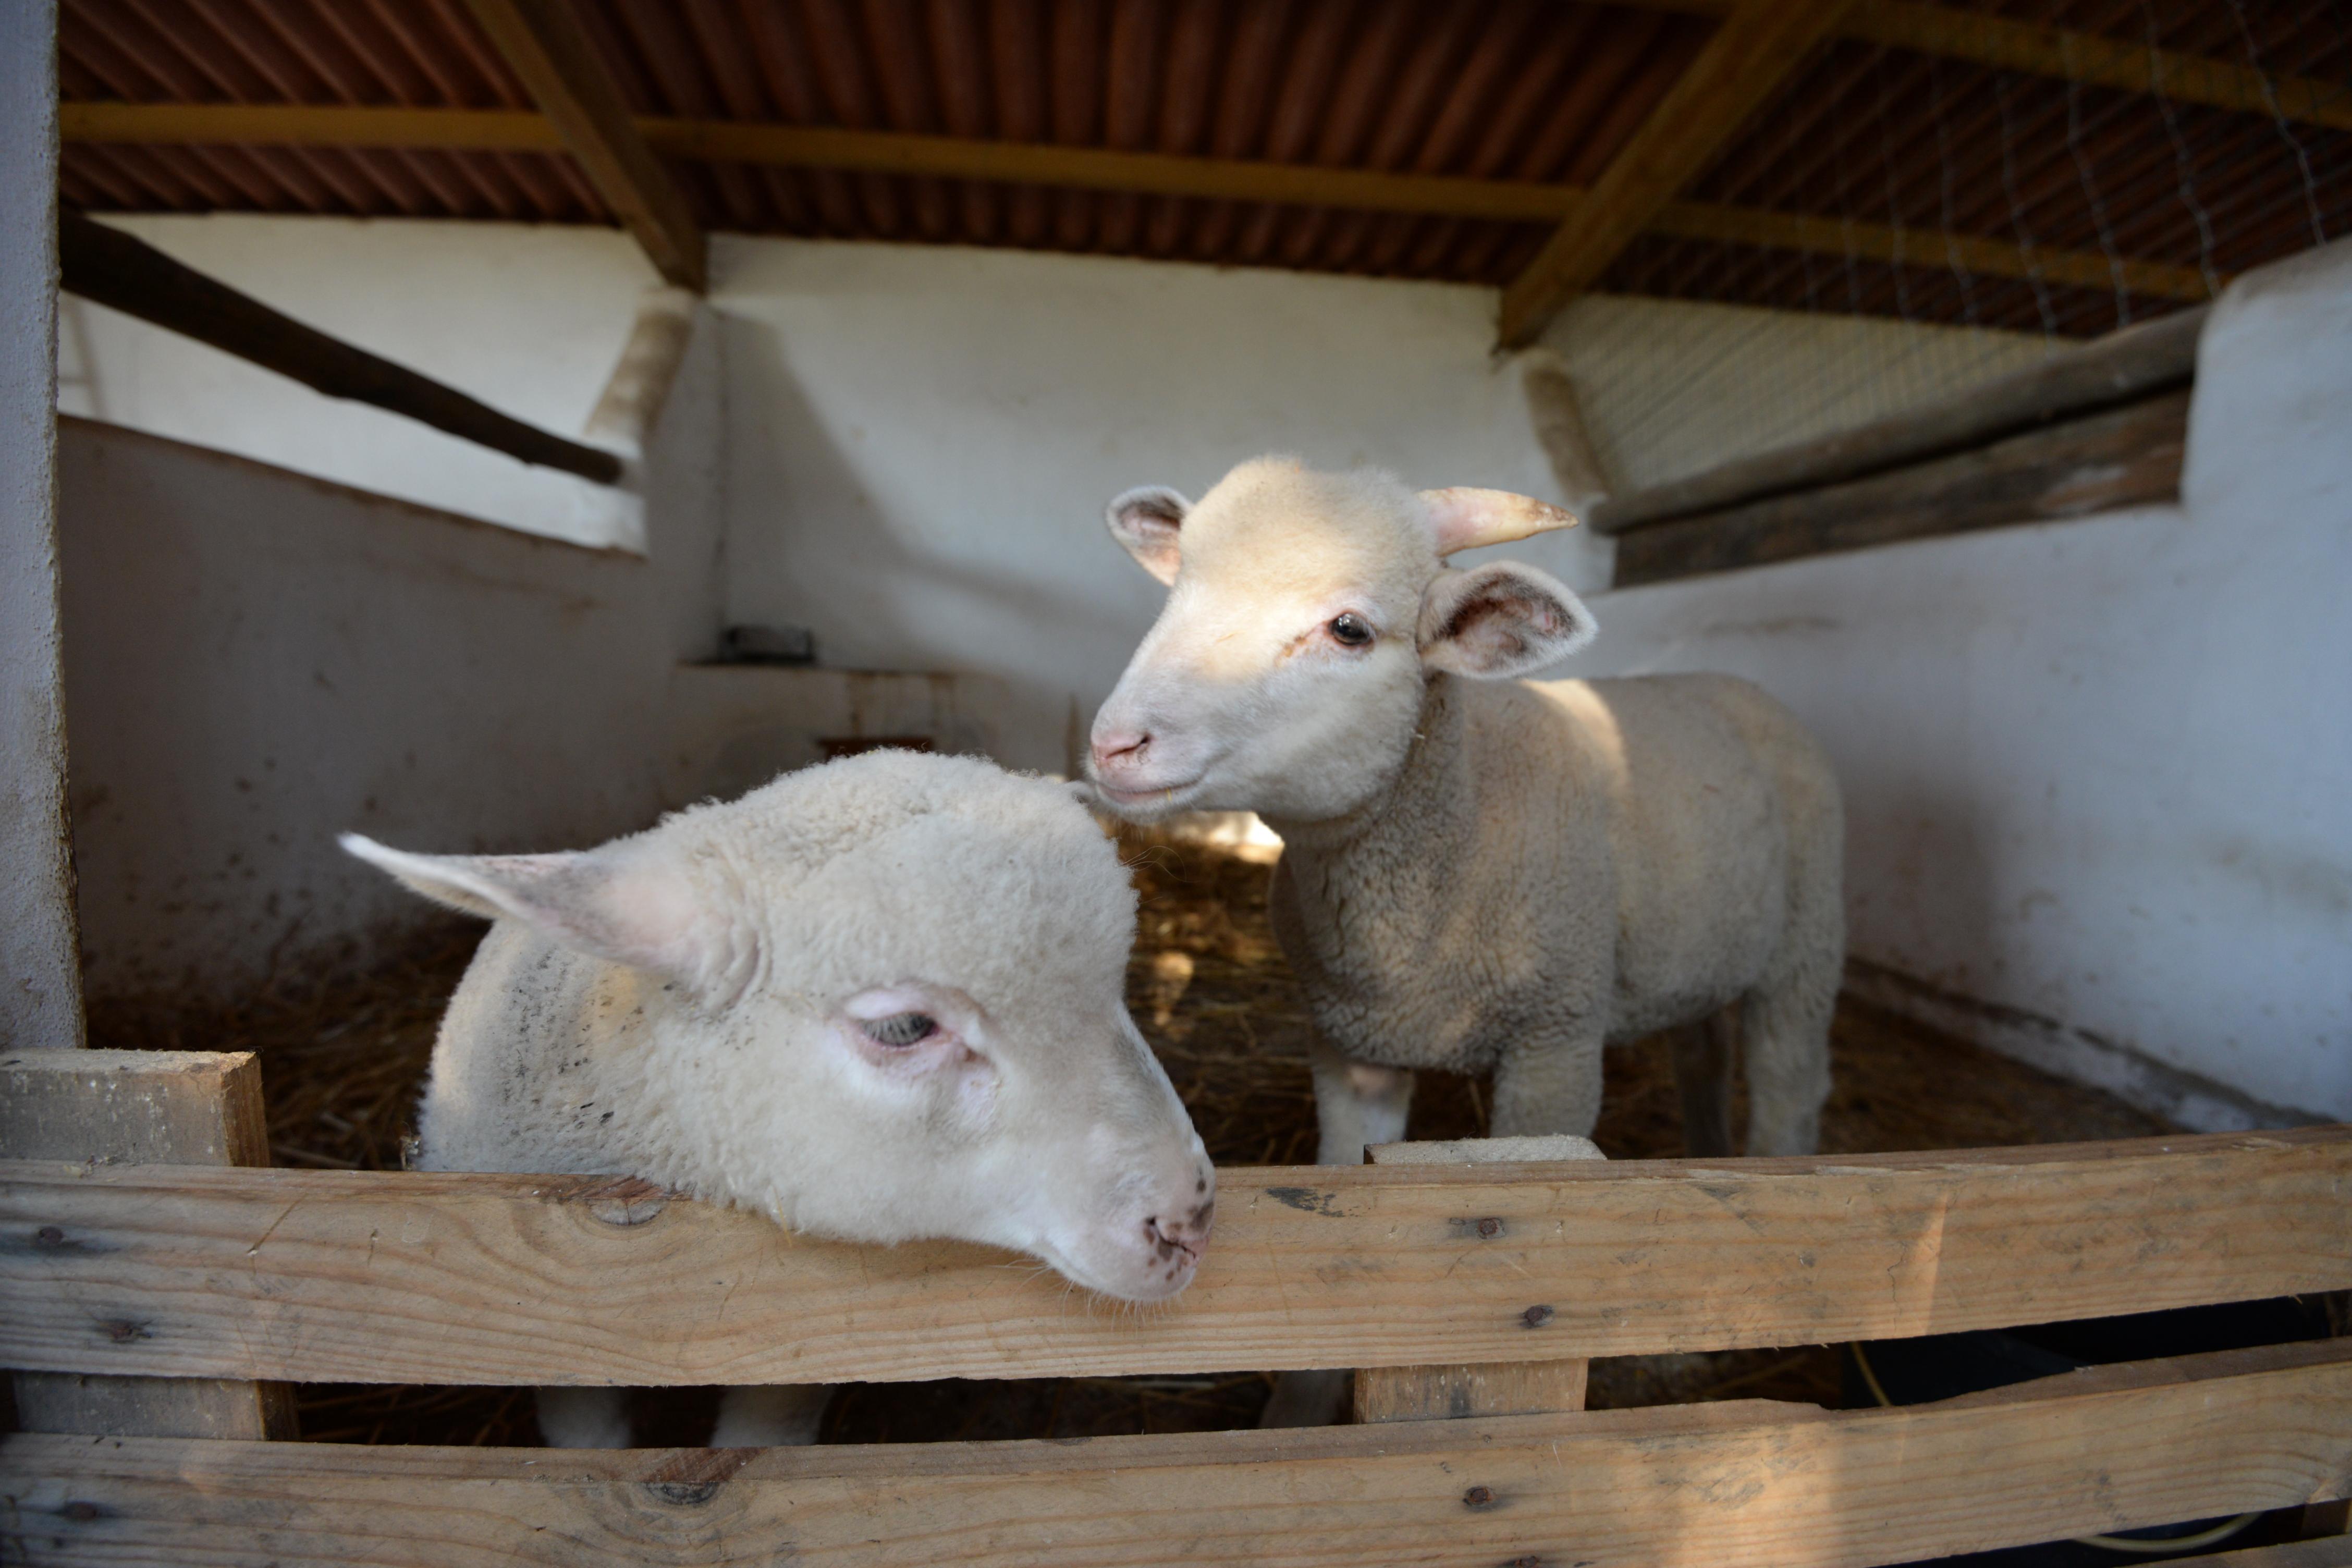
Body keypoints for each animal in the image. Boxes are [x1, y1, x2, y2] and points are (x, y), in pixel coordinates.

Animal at [1082, 454, 1834, 1166]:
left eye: (1349, 629)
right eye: (1178, 592)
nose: (1113, 744)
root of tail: (1730, 681)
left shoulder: (1555, 1044)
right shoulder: (1348, 1045)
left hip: (1802, 950)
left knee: (1789, 1083)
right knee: (1703, 1052)